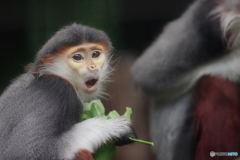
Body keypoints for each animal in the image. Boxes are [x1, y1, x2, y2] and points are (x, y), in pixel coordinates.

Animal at [0, 22, 136, 160]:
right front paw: (111, 127)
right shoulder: (58, 92)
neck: (55, 75)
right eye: (77, 57)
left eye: (95, 54)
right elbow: (25, 152)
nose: (92, 66)